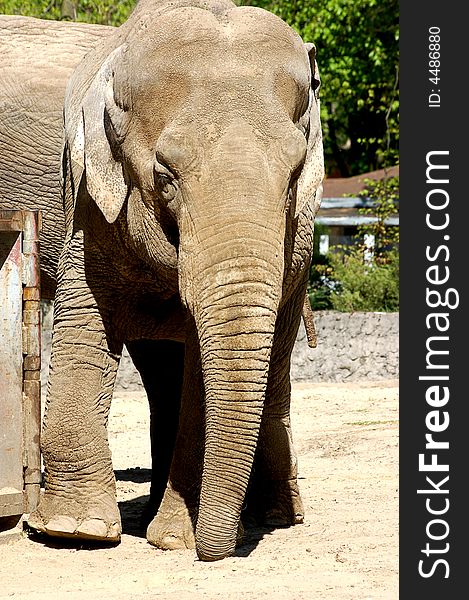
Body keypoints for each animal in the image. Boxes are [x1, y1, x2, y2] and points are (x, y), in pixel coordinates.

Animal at [0, 1, 324, 564]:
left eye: (293, 175)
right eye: (165, 175)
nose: (213, 553)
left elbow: (201, 358)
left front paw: (175, 539)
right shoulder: (90, 195)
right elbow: (84, 317)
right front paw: (75, 531)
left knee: (269, 359)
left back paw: (275, 517)